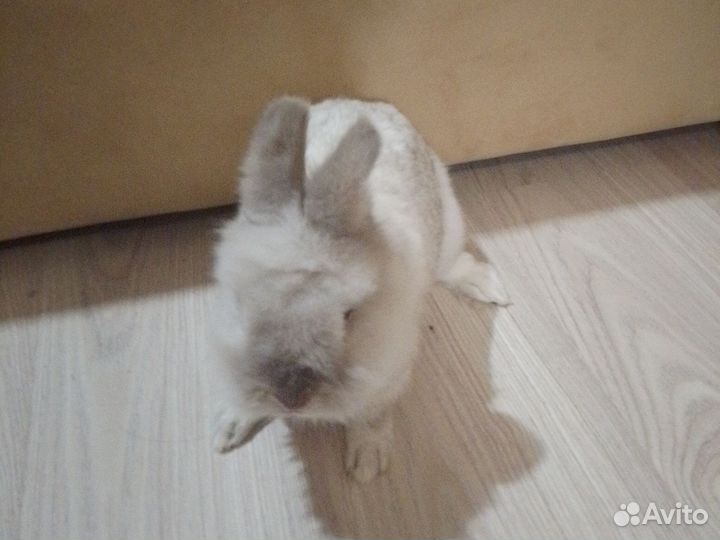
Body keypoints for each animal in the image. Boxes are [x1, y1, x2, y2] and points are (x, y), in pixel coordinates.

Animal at [209, 96, 509, 482]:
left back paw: (486, 286)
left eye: (348, 315)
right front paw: (227, 427)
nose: (291, 397)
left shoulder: (386, 375)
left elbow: (372, 416)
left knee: (455, 264)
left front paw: (367, 462)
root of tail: (368, 103)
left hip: (450, 226)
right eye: (241, 307)